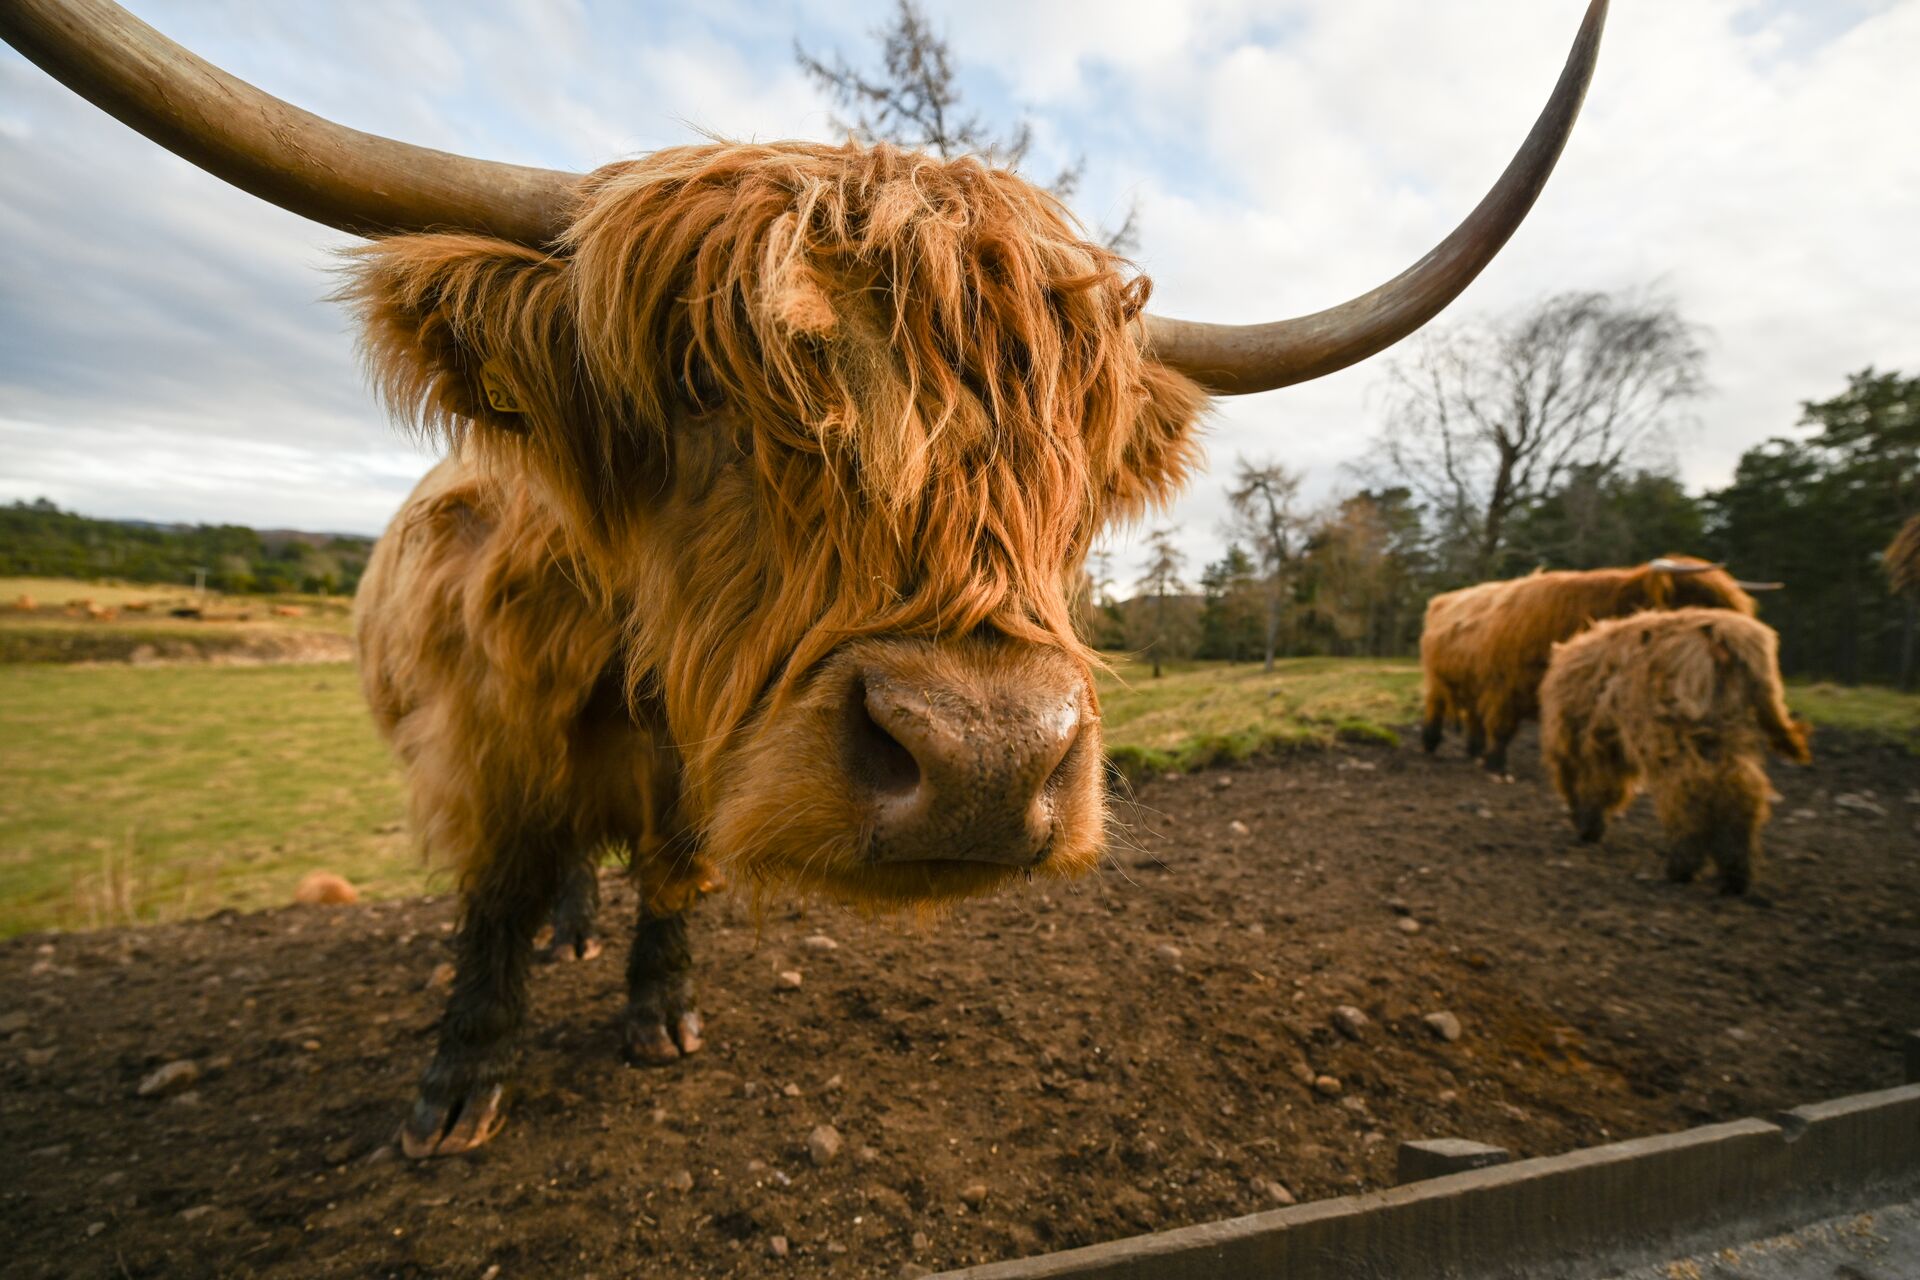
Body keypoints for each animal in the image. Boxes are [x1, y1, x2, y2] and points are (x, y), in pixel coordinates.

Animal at [2, 0, 1609, 1156]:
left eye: (1075, 448)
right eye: (702, 384)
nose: (984, 761)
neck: (635, 674)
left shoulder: (683, 778)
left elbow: (675, 875)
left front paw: (660, 1014)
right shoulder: (489, 738)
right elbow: (496, 897)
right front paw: (457, 1089)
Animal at [1419, 557, 1773, 776]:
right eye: (1703, 601)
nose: (1751, 637)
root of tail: (1443, 598)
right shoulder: (1504, 687)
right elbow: (1503, 729)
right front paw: (1496, 766)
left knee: (1474, 717)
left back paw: (1473, 750)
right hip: (1439, 680)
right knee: (1437, 707)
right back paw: (1432, 744)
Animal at [1538, 608, 1810, 894]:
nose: (1582, 830)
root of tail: (1727, 634)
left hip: (1675, 733)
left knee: (1687, 790)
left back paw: (1682, 866)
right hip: (1727, 730)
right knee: (1740, 790)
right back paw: (1734, 874)